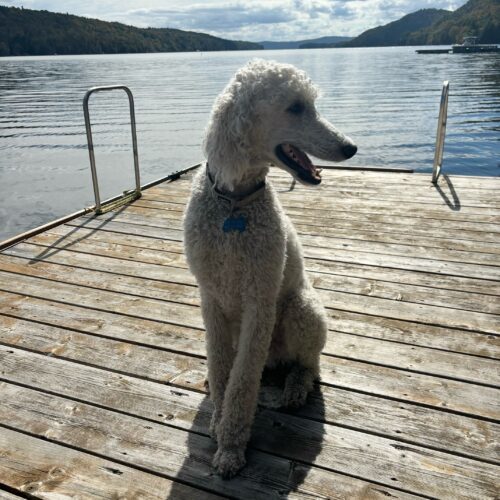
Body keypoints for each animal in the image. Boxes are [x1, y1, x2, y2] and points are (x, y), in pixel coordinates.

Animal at [183, 58, 356, 476]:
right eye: (295, 107)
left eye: (312, 103)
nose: (350, 147)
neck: (234, 205)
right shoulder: (211, 300)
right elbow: (222, 367)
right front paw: (218, 418)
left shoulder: (259, 302)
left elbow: (244, 380)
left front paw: (231, 446)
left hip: (301, 310)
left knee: (309, 364)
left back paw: (295, 388)